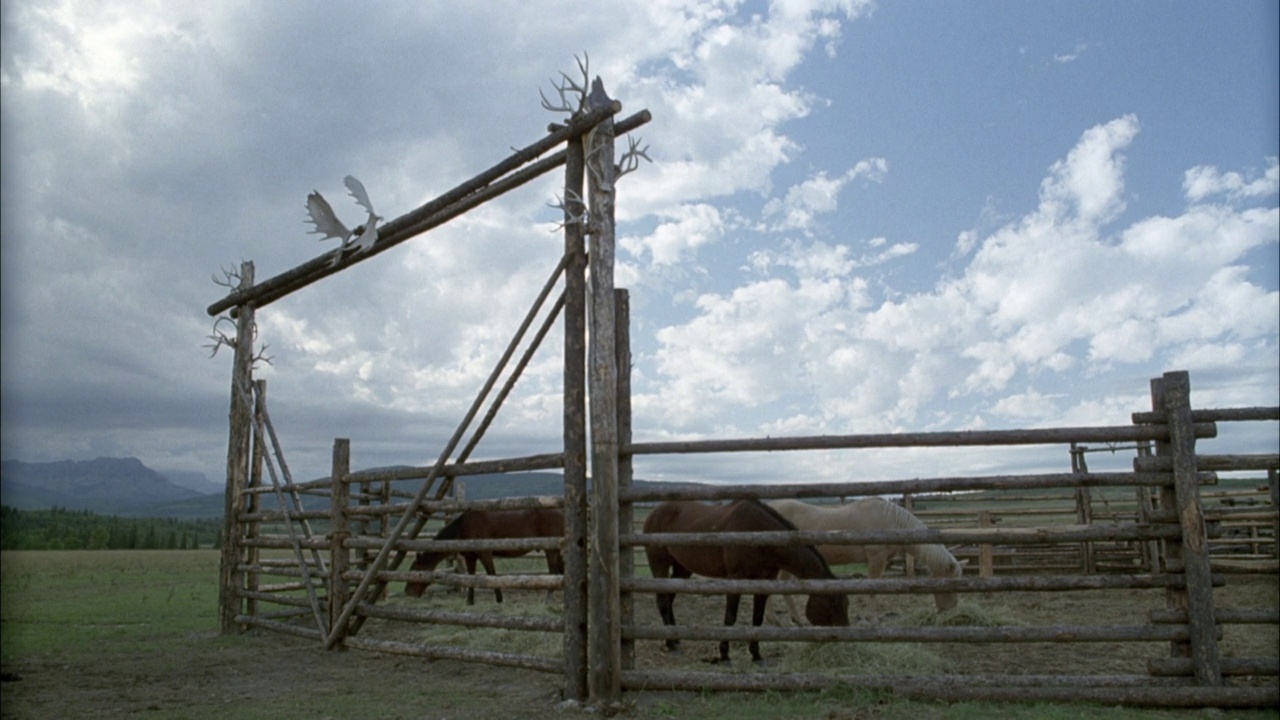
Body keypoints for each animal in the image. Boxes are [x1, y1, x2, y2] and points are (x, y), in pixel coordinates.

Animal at [401, 507, 563, 602]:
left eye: (415, 571)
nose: (408, 592)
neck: (464, 527)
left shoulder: (485, 553)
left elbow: (491, 574)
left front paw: (499, 600)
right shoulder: (470, 557)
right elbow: (471, 577)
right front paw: (470, 601)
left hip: (551, 549)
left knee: (553, 571)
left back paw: (549, 598)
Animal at [640, 499, 849, 661]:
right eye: (832, 603)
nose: (845, 637)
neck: (758, 533)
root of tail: (654, 512)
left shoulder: (764, 582)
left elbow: (757, 619)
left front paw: (756, 654)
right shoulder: (736, 579)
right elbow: (730, 618)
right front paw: (724, 654)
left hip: (682, 569)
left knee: (669, 599)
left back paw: (675, 638)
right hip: (659, 565)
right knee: (662, 601)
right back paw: (670, 644)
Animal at [762, 491, 962, 617]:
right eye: (950, 584)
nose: (949, 610)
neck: (891, 521)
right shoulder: (876, 558)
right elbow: (872, 587)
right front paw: (871, 619)